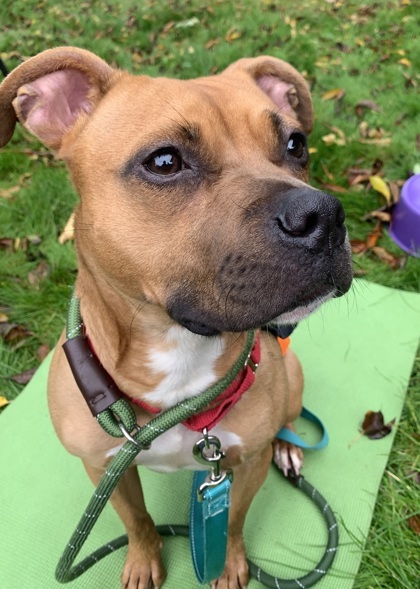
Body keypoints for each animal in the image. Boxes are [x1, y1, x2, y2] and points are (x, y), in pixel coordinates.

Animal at [0, 49, 352, 588]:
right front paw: (144, 559)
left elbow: (233, 521)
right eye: (164, 161)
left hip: (292, 376)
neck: (179, 354)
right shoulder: (104, 469)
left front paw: (230, 565)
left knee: (288, 420)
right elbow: (137, 519)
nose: (325, 215)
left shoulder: (243, 464)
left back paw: (288, 447)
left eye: (296, 144)